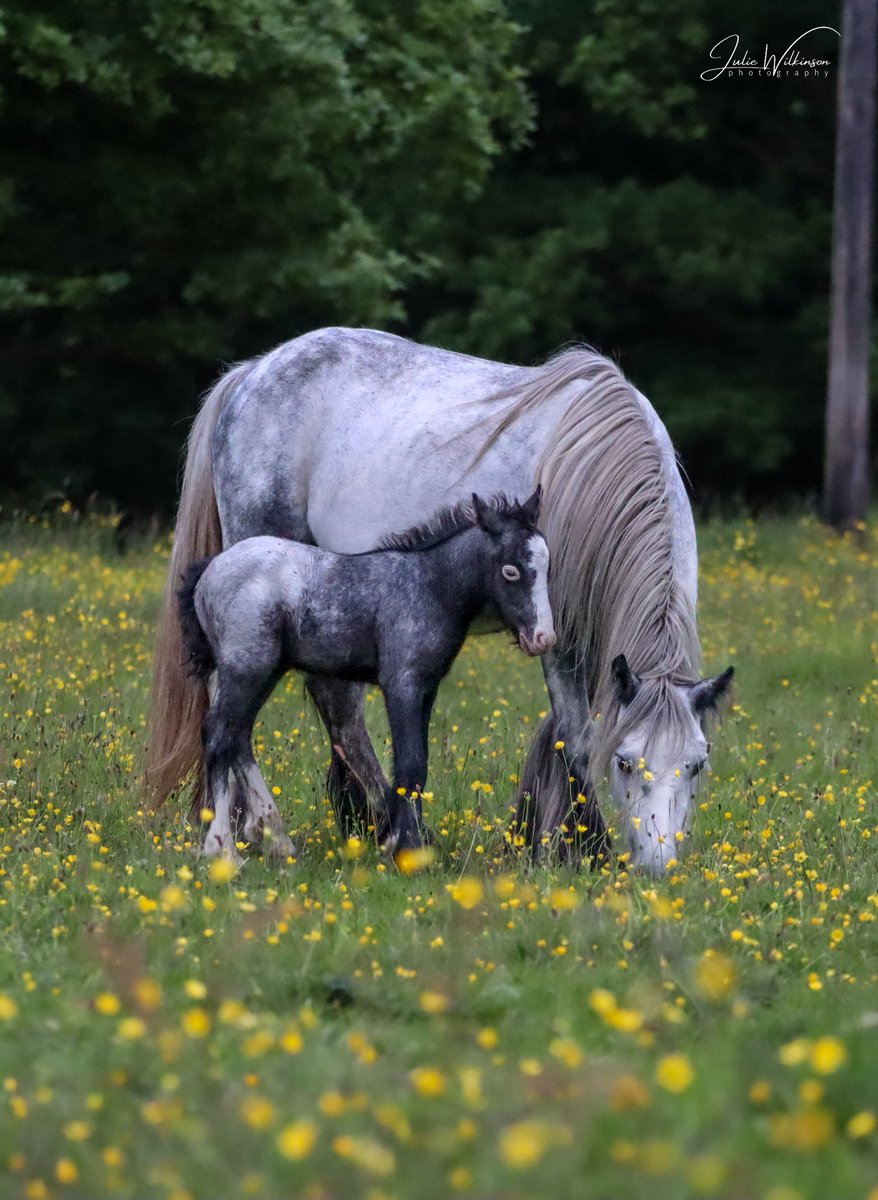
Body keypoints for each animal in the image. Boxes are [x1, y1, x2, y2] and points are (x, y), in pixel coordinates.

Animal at [176, 487, 556, 864]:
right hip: (245, 666)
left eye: (546, 566)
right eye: (510, 571)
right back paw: (222, 847)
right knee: (218, 734)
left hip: (265, 670)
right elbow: (411, 764)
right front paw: (405, 849)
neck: (430, 586)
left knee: (238, 735)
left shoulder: (426, 688)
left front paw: (402, 844)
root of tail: (209, 569)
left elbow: (415, 767)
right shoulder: (402, 683)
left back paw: (275, 838)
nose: (544, 638)